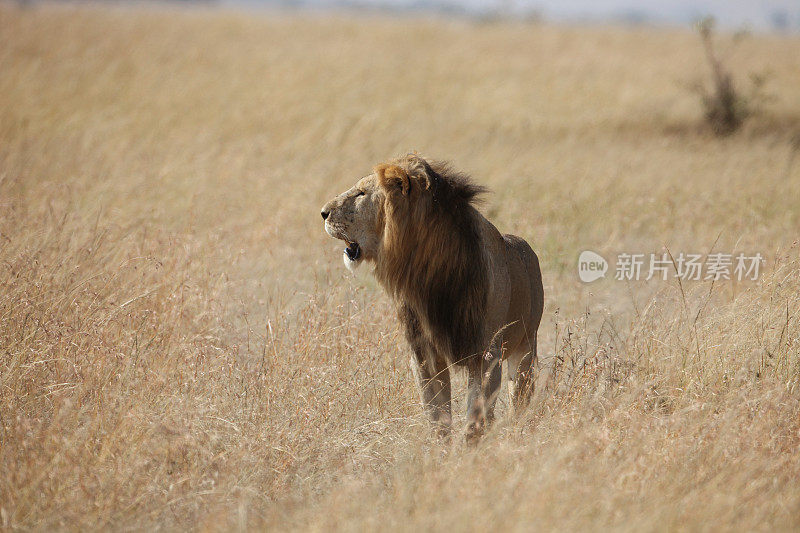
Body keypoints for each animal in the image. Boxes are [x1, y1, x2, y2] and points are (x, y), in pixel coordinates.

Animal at [318, 154, 544, 440]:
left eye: (360, 193)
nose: (323, 213)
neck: (426, 273)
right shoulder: (424, 353)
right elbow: (437, 415)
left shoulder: (485, 353)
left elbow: (477, 413)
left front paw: (471, 444)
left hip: (526, 348)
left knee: (520, 399)